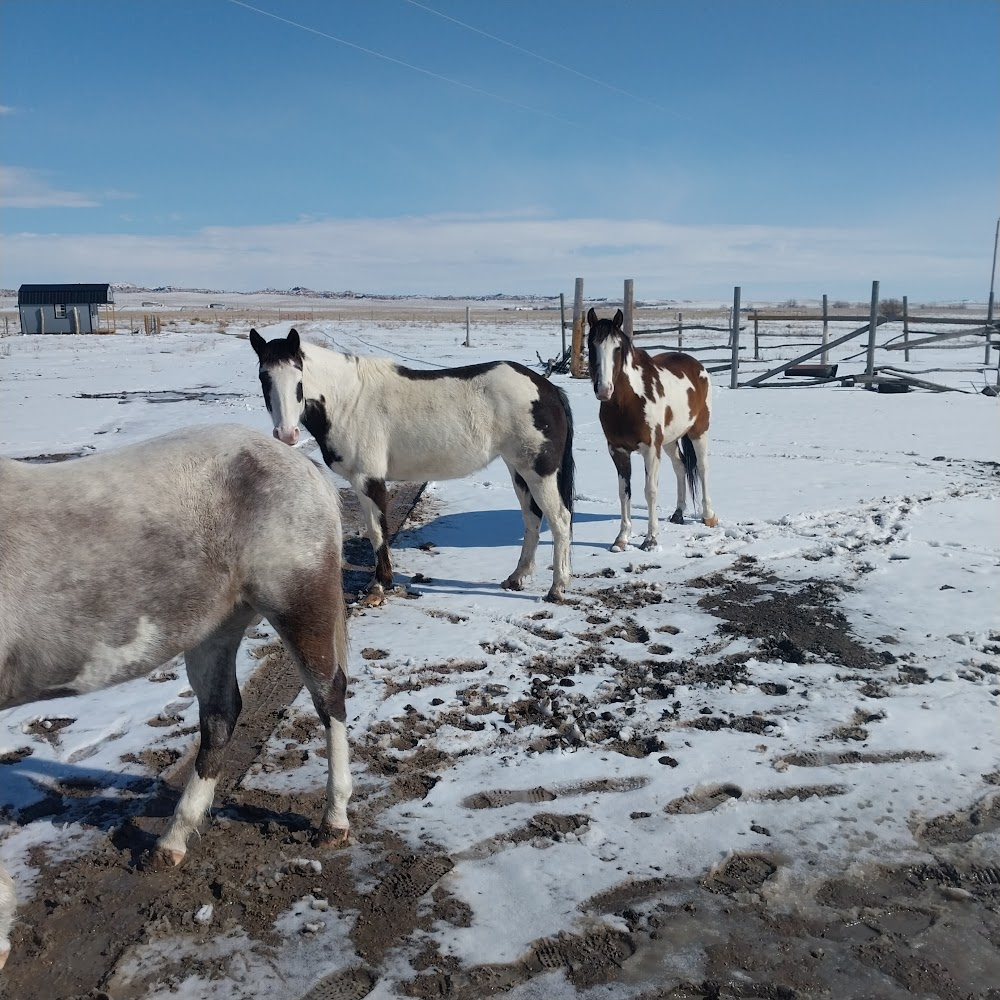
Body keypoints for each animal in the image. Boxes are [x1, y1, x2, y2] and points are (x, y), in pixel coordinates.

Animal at [0, 424, 352, 968]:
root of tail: (298, 464)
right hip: (213, 630)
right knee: (220, 717)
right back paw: (172, 842)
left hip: (298, 605)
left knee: (328, 697)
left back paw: (334, 819)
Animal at [250, 332, 576, 604]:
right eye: (264, 378)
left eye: (298, 377)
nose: (286, 434)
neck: (349, 400)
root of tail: (547, 388)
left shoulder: (368, 479)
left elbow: (377, 532)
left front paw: (379, 584)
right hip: (518, 470)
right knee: (532, 519)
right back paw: (516, 578)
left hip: (539, 472)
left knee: (560, 520)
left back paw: (557, 588)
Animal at [584, 308, 720, 552]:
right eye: (591, 345)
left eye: (617, 348)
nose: (604, 389)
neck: (628, 402)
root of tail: (698, 366)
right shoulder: (617, 451)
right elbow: (624, 492)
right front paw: (621, 539)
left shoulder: (650, 450)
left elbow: (650, 491)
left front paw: (650, 539)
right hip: (670, 440)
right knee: (680, 466)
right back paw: (678, 513)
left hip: (698, 432)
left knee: (703, 467)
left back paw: (709, 516)